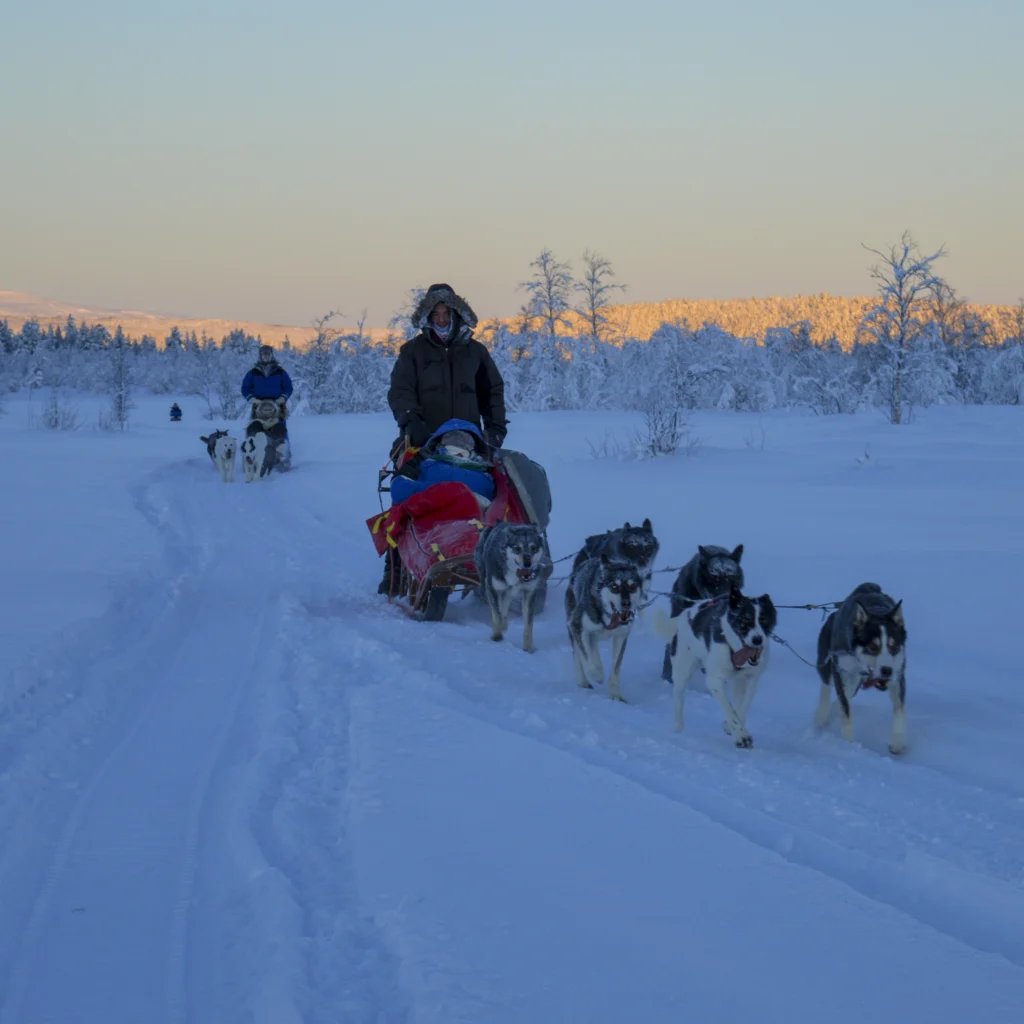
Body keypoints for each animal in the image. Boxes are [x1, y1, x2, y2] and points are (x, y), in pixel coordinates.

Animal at [569, 552, 638, 704]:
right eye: (614, 586)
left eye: (632, 587)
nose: (626, 603)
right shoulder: (576, 626)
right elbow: (586, 659)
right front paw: (597, 675)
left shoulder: (621, 635)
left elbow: (615, 669)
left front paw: (616, 694)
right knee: (578, 654)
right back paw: (584, 680)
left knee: (592, 649)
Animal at [655, 589, 774, 749]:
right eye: (745, 620)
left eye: (764, 621)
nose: (757, 640)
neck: (735, 651)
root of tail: (685, 613)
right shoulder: (714, 680)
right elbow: (730, 709)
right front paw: (741, 736)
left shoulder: (750, 679)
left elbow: (741, 708)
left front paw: (733, 727)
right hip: (683, 671)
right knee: (678, 700)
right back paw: (678, 729)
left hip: (737, 682)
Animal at [811, 585, 909, 753]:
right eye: (873, 647)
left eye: (894, 647)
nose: (887, 670)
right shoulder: (841, 672)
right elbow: (845, 711)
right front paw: (848, 744)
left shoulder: (898, 675)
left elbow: (899, 709)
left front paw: (897, 742)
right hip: (828, 664)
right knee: (826, 686)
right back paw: (822, 716)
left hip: (855, 682)